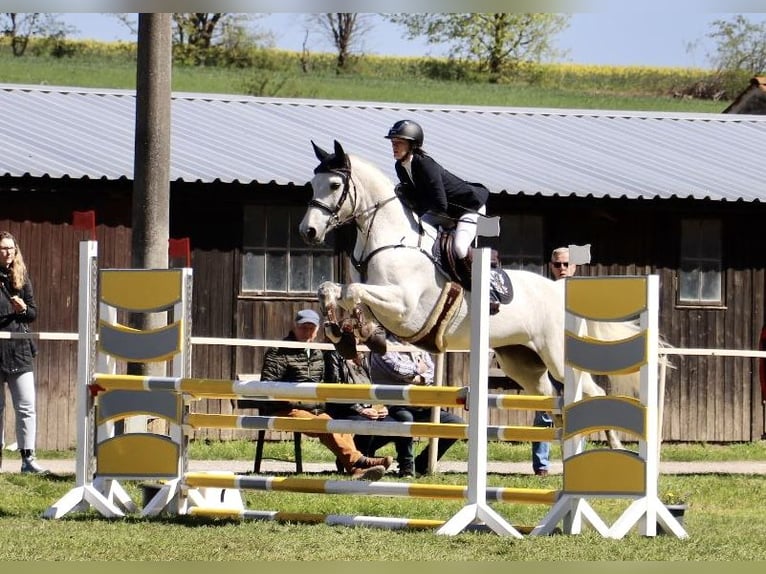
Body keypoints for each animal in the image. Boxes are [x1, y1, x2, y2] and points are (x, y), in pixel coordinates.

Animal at [300, 142, 640, 448]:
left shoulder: (404, 307)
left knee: (593, 393)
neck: (389, 239)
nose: (308, 232)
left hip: (556, 354)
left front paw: (359, 333)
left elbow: (355, 292)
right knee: (554, 396)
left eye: (334, 184)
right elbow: (334, 290)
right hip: (522, 361)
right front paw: (346, 333)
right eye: (312, 185)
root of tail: (560, 291)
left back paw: (614, 451)